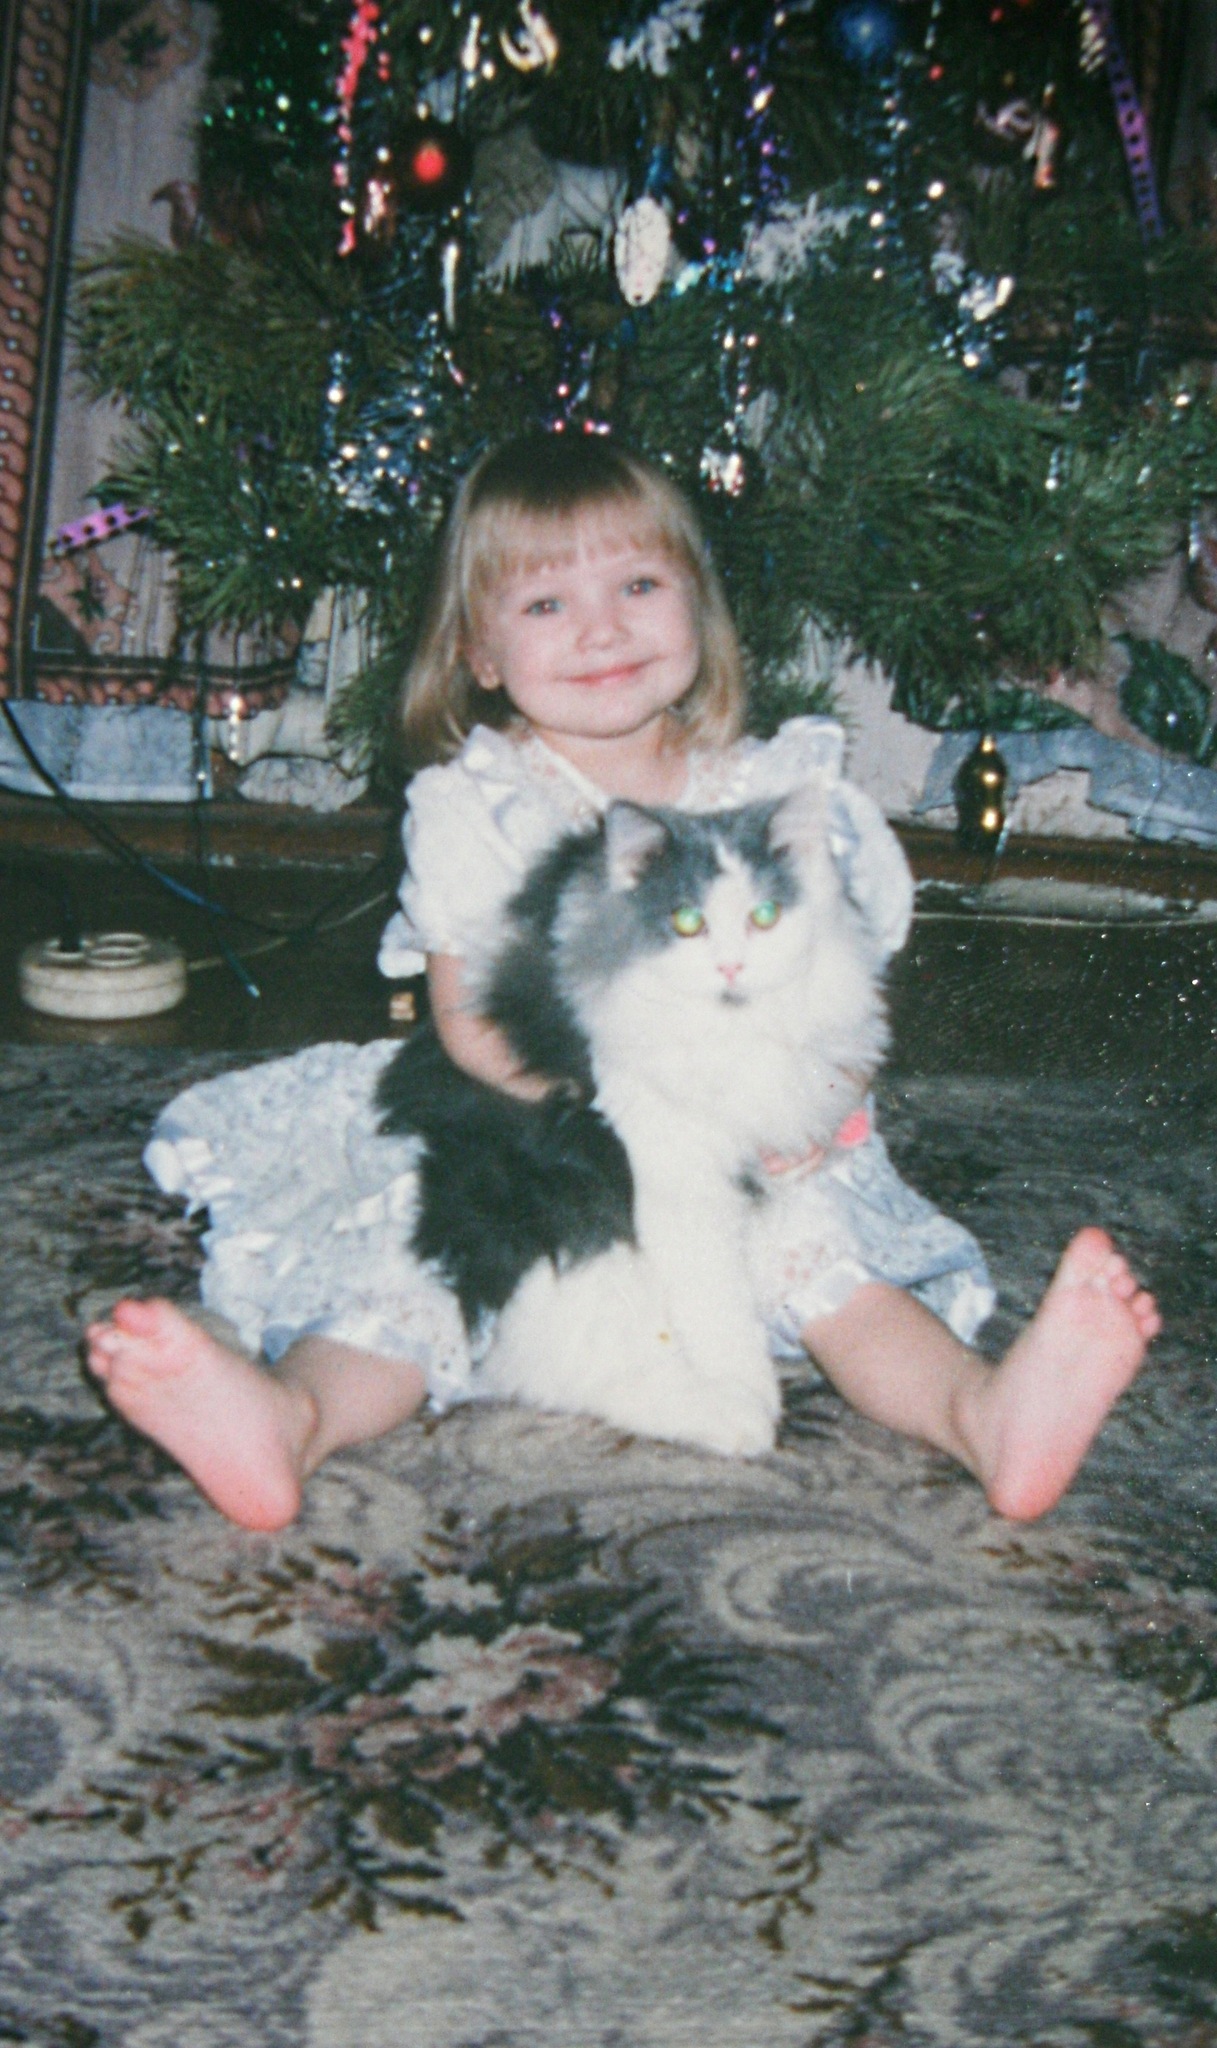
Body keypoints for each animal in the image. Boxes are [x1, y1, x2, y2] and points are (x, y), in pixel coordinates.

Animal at [376, 777, 890, 1455]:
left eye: (765, 916)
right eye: (687, 922)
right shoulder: (672, 1171)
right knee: (594, 1369)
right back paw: (738, 1421)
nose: (731, 967)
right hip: (573, 1215)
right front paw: (749, 1389)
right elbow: (715, 1305)